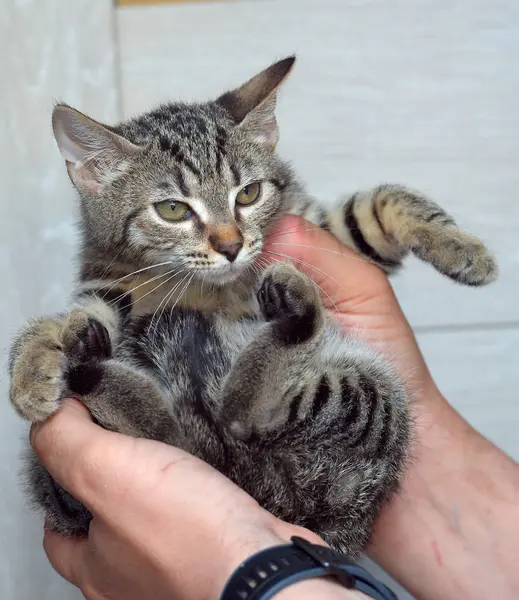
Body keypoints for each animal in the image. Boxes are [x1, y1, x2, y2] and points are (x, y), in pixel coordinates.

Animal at [7, 56, 496, 556]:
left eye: (248, 194)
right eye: (172, 210)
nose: (230, 245)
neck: (216, 289)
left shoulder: (326, 235)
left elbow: (376, 206)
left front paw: (463, 249)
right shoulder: (115, 285)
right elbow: (80, 314)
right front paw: (32, 366)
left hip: (377, 400)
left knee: (241, 417)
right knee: (191, 429)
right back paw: (94, 366)